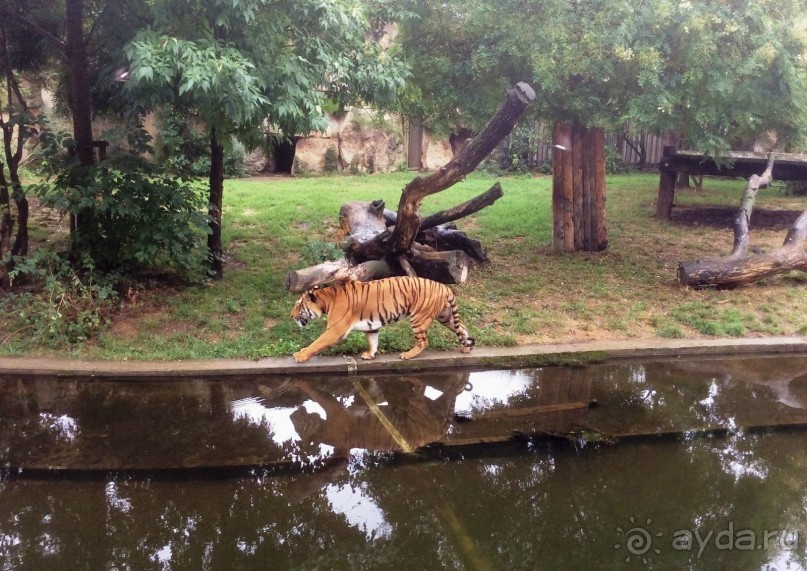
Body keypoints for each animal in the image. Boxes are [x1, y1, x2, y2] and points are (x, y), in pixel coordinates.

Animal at [290, 276, 476, 364]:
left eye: (298, 305)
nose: (291, 316)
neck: (328, 300)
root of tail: (445, 287)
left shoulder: (335, 330)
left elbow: (316, 343)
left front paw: (300, 355)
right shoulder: (371, 326)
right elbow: (373, 340)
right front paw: (370, 355)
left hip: (419, 318)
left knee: (423, 341)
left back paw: (408, 355)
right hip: (446, 316)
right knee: (462, 327)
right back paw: (465, 348)